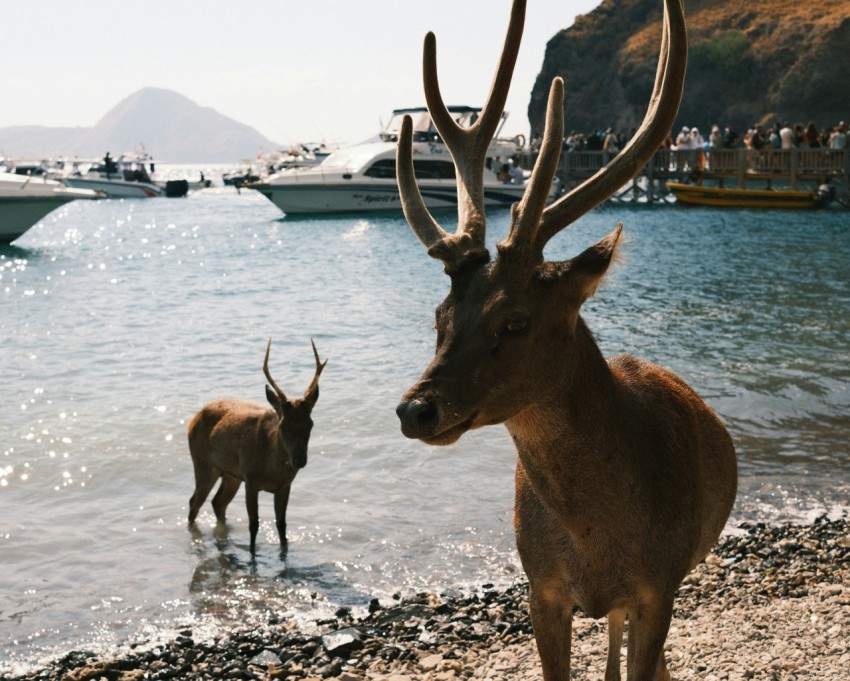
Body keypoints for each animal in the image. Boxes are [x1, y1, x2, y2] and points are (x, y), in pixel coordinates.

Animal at [187, 338, 326, 556]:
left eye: (310, 424)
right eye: (282, 425)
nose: (299, 459)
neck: (271, 469)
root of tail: (192, 421)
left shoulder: (285, 485)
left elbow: (282, 525)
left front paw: (283, 554)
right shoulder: (251, 481)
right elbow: (254, 525)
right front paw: (252, 556)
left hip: (231, 475)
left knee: (218, 503)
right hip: (203, 464)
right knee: (194, 502)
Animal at [398, 1, 736, 680]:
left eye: (515, 320)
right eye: (439, 314)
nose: (415, 408)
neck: (596, 540)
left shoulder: (660, 584)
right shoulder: (541, 587)